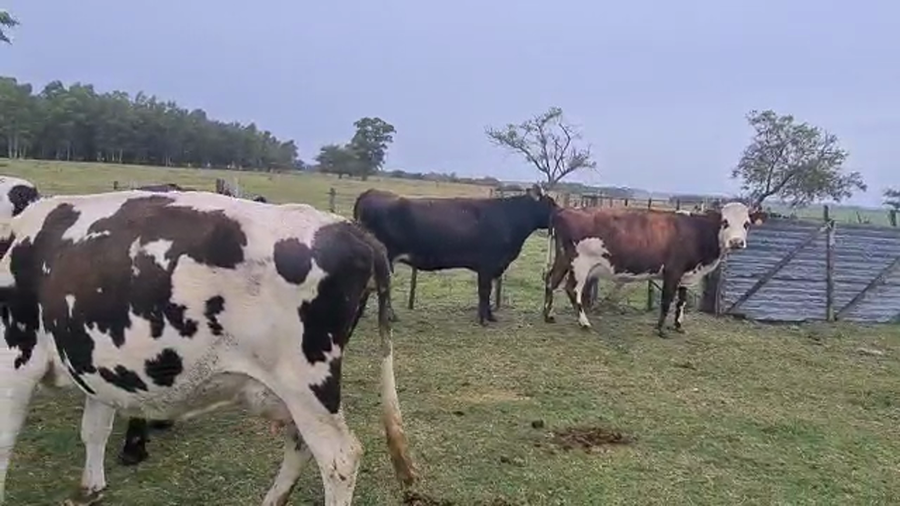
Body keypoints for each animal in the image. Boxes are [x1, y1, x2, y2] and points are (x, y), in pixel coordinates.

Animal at [0, 190, 417, 505]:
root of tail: (351, 229)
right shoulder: (93, 360)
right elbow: (94, 429)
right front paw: (91, 488)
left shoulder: (14, 360)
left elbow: (4, 442)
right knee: (300, 444)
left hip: (307, 384)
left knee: (339, 458)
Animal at [353, 184, 557, 325]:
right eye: (551, 204)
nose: (561, 212)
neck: (508, 217)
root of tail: (371, 192)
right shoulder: (487, 265)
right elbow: (484, 292)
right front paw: (483, 319)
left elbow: (486, 292)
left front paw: (490, 317)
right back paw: (390, 316)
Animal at [543, 202, 751, 337]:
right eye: (724, 222)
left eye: (747, 224)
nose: (736, 242)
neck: (696, 231)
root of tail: (563, 210)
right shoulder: (673, 272)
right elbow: (667, 301)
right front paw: (659, 330)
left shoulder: (686, 274)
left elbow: (681, 301)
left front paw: (678, 326)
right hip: (580, 264)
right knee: (572, 290)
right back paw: (584, 323)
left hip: (563, 258)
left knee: (551, 280)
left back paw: (548, 315)